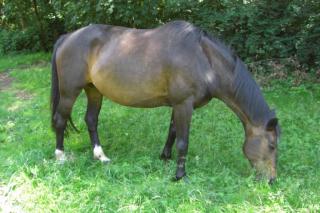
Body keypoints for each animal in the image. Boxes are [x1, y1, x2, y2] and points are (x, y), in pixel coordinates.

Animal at [50, 20, 280, 183]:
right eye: (271, 145)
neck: (203, 60)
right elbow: (183, 141)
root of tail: (67, 37)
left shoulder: (178, 105)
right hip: (69, 92)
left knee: (91, 120)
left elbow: (172, 132)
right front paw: (180, 175)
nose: (271, 180)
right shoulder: (184, 105)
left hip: (94, 91)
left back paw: (101, 156)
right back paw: (60, 157)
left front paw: (165, 158)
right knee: (60, 120)